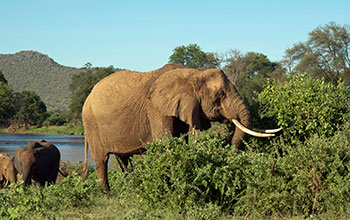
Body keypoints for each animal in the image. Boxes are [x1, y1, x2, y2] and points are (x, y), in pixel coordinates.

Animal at [81, 64, 278, 194]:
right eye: (220, 95)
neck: (193, 73)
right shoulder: (156, 108)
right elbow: (166, 143)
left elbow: (180, 141)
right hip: (91, 123)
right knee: (101, 160)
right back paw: (108, 195)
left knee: (123, 160)